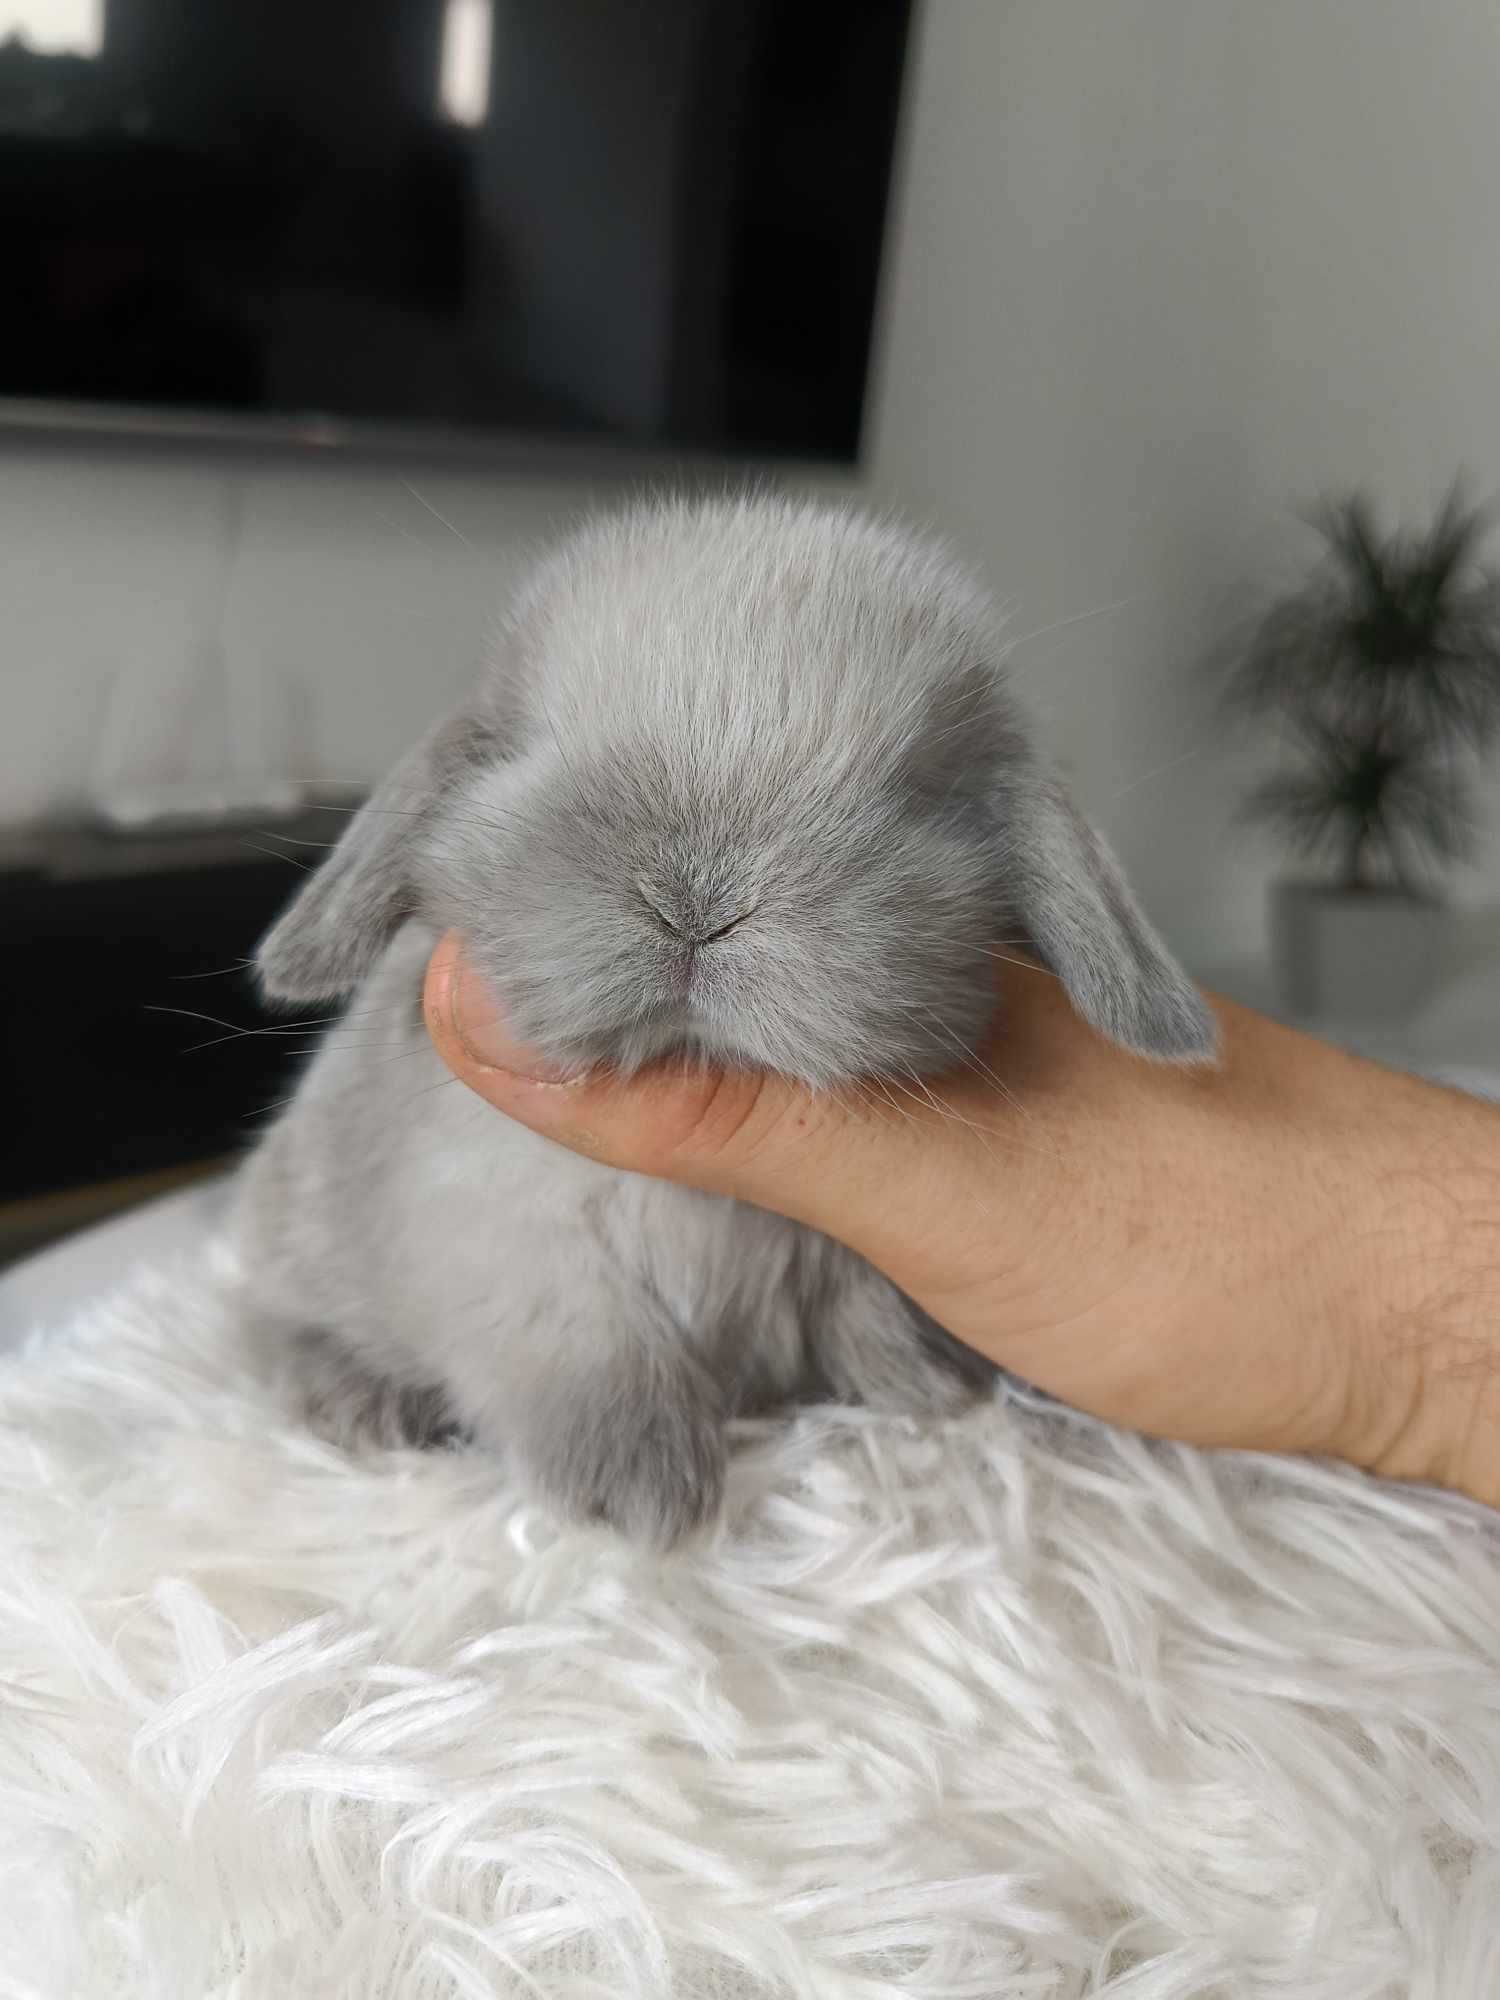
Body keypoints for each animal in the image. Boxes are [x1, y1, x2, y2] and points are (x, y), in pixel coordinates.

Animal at [241, 500, 1216, 1544]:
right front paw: (642, 1497)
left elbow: (864, 1308)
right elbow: (590, 1344)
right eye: (531, 747)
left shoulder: (853, 1255)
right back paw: (361, 1402)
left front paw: (926, 1385)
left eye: (920, 793)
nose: (697, 900)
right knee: (267, 1325)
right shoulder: (509, 1239)